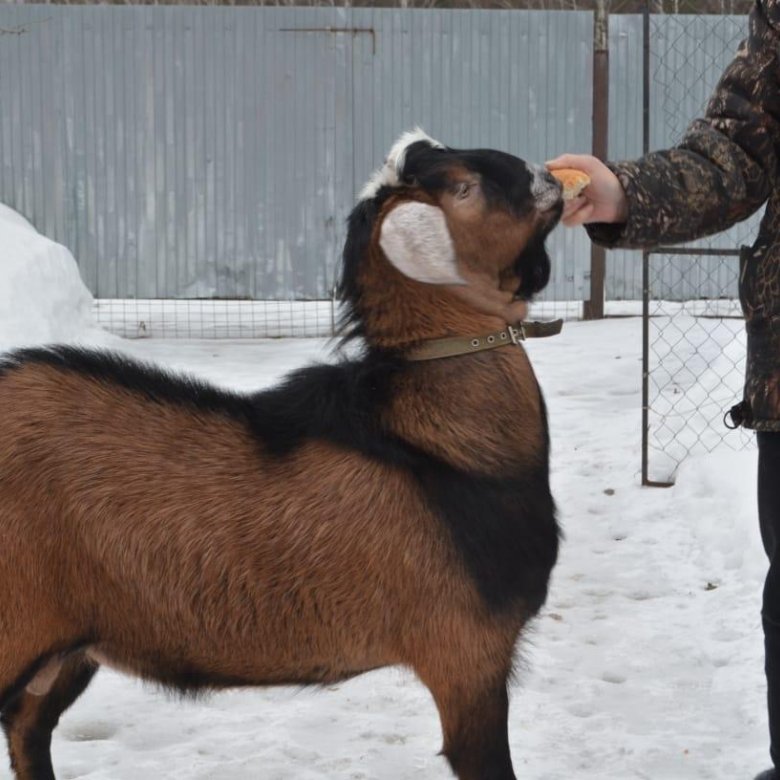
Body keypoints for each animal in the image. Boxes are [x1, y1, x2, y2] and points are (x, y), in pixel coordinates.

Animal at [0, 131, 560, 776]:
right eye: (466, 187)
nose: (551, 177)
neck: (433, 442)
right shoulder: (464, 655)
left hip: (67, 643)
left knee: (27, 723)